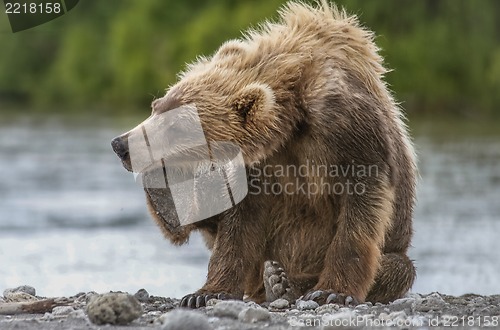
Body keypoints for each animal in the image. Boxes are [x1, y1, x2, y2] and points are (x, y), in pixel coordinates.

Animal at [111, 0, 416, 310]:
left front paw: (332, 291)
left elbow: (360, 208)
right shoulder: (255, 165)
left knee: (398, 268)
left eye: (175, 125)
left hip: (396, 248)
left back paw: (284, 281)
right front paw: (206, 292)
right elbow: (238, 225)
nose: (121, 145)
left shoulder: (349, 130)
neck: (290, 122)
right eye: (156, 106)